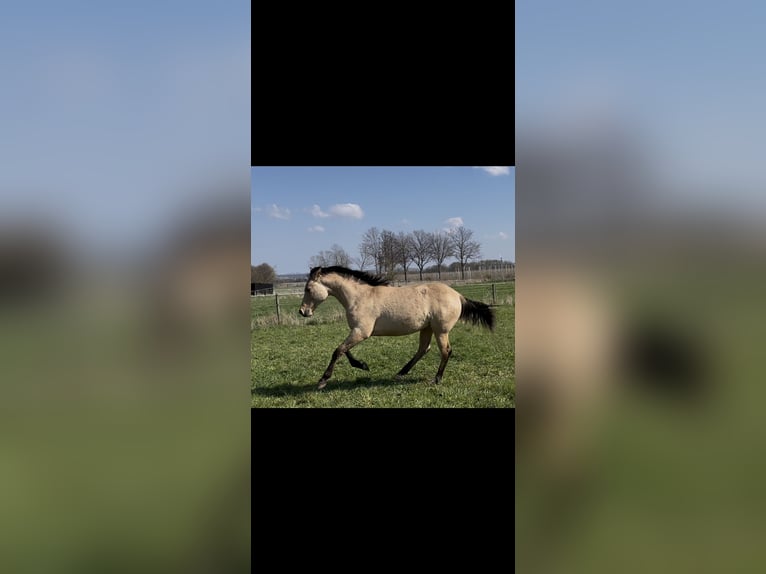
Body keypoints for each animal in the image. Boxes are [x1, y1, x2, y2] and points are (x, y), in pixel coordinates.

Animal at [299, 266, 495, 389]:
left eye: (308, 288)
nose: (302, 311)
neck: (359, 296)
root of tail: (458, 295)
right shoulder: (357, 331)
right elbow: (344, 350)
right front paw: (362, 365)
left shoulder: (361, 332)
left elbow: (338, 350)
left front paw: (323, 381)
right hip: (427, 328)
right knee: (423, 349)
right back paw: (401, 373)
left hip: (441, 330)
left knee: (445, 351)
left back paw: (437, 379)